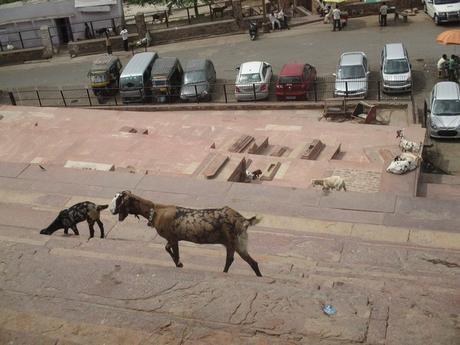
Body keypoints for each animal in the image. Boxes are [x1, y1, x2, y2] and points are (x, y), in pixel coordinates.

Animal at [108, 191, 262, 276]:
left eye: (119, 199)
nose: (110, 210)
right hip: (235, 244)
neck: (156, 211)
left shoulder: (172, 238)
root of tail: (243, 220)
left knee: (242, 261)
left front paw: (179, 264)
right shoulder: (173, 239)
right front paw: (179, 264)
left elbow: (173, 252)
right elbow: (168, 249)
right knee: (242, 261)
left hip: (235, 242)